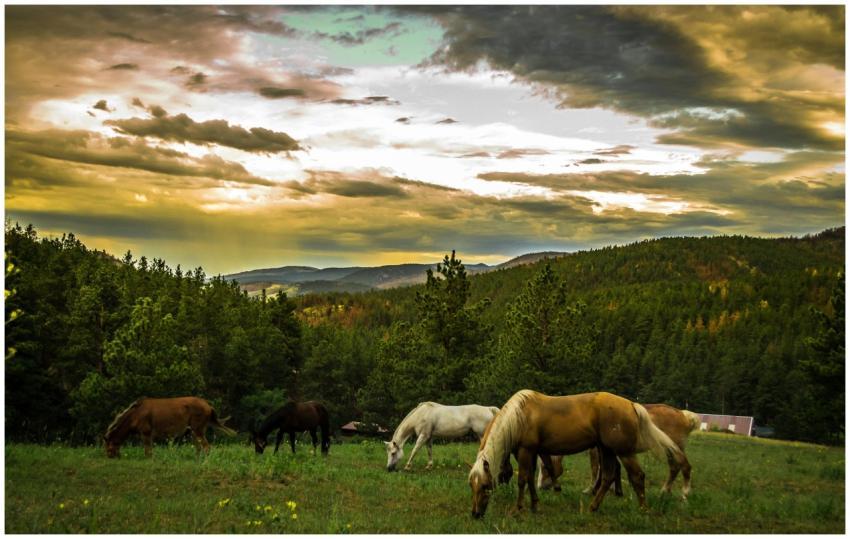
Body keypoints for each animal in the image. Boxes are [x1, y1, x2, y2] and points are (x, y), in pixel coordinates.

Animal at [103, 396, 236, 458]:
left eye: (108, 447)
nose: (110, 457)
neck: (135, 415)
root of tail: (208, 406)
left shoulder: (146, 433)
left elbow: (148, 450)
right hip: (194, 431)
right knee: (199, 448)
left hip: (198, 430)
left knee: (206, 447)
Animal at [538, 404, 701, 499]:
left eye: (545, 468)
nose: (540, 487)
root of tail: (684, 415)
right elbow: (615, 468)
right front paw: (615, 491)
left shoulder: (596, 450)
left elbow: (597, 469)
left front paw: (592, 490)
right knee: (674, 468)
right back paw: (665, 491)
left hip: (674, 448)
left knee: (685, 466)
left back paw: (684, 493)